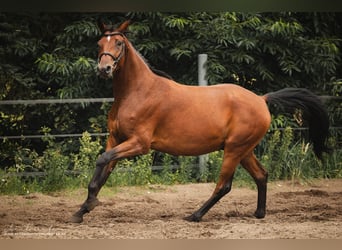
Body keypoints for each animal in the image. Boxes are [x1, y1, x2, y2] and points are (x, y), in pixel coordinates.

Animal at [69, 20, 328, 223]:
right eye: (99, 44)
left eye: (119, 43)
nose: (104, 68)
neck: (137, 92)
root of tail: (261, 99)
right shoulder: (116, 139)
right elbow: (103, 170)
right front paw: (82, 210)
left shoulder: (139, 144)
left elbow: (102, 161)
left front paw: (89, 205)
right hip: (244, 150)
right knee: (261, 175)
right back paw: (259, 213)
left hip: (234, 149)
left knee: (224, 185)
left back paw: (195, 215)